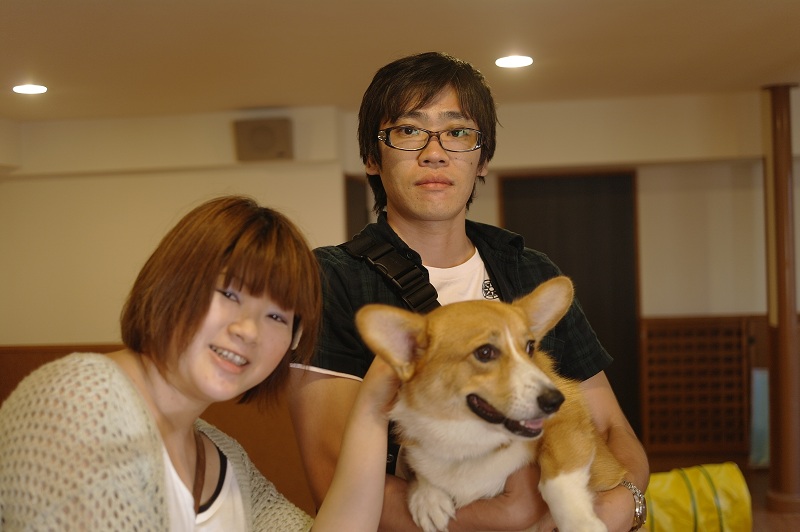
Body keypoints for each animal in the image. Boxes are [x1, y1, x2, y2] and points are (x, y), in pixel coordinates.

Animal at [355, 276, 626, 532]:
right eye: (485, 353)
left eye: (529, 347)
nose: (555, 400)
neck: (470, 439)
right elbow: (421, 470)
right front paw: (427, 498)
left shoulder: (569, 419)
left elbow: (557, 479)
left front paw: (580, 523)